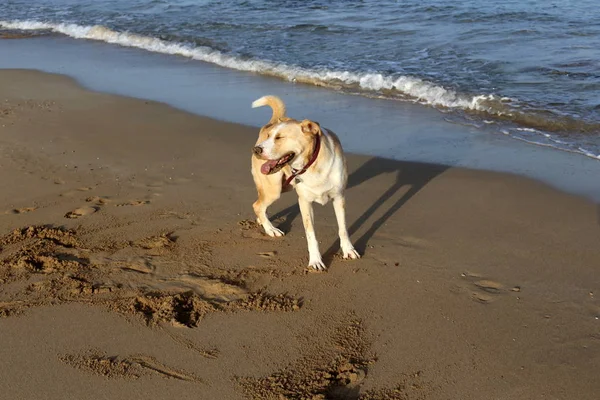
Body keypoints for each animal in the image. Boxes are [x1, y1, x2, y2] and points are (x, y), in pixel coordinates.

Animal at [250, 95, 358, 270]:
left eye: (279, 137)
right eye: (269, 136)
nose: (256, 150)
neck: (312, 164)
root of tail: (270, 123)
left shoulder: (339, 197)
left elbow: (343, 228)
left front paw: (348, 250)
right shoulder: (304, 201)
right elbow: (310, 234)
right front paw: (315, 260)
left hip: (283, 186)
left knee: (259, 205)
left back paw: (264, 222)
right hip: (274, 188)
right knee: (258, 205)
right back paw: (271, 229)